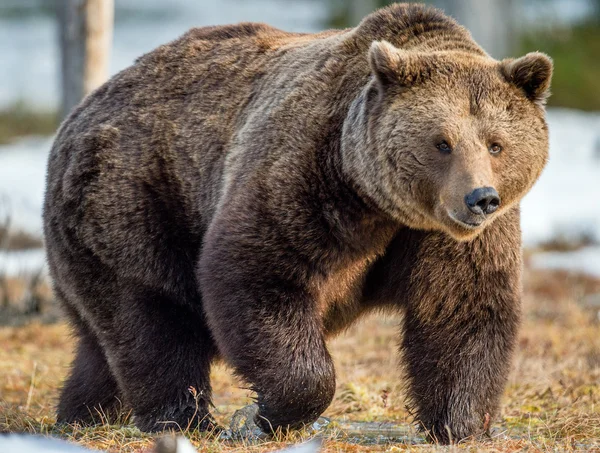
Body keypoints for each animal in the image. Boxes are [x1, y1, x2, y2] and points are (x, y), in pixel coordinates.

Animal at [43, 1, 552, 444]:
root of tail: (78, 113)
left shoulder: (442, 237)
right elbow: (259, 272)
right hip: (131, 202)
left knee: (103, 345)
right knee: (154, 318)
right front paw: (270, 414)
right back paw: (184, 419)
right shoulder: (308, 174)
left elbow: (461, 307)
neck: (379, 203)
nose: (480, 199)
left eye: (496, 144)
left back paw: (82, 414)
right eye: (442, 142)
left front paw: (462, 423)